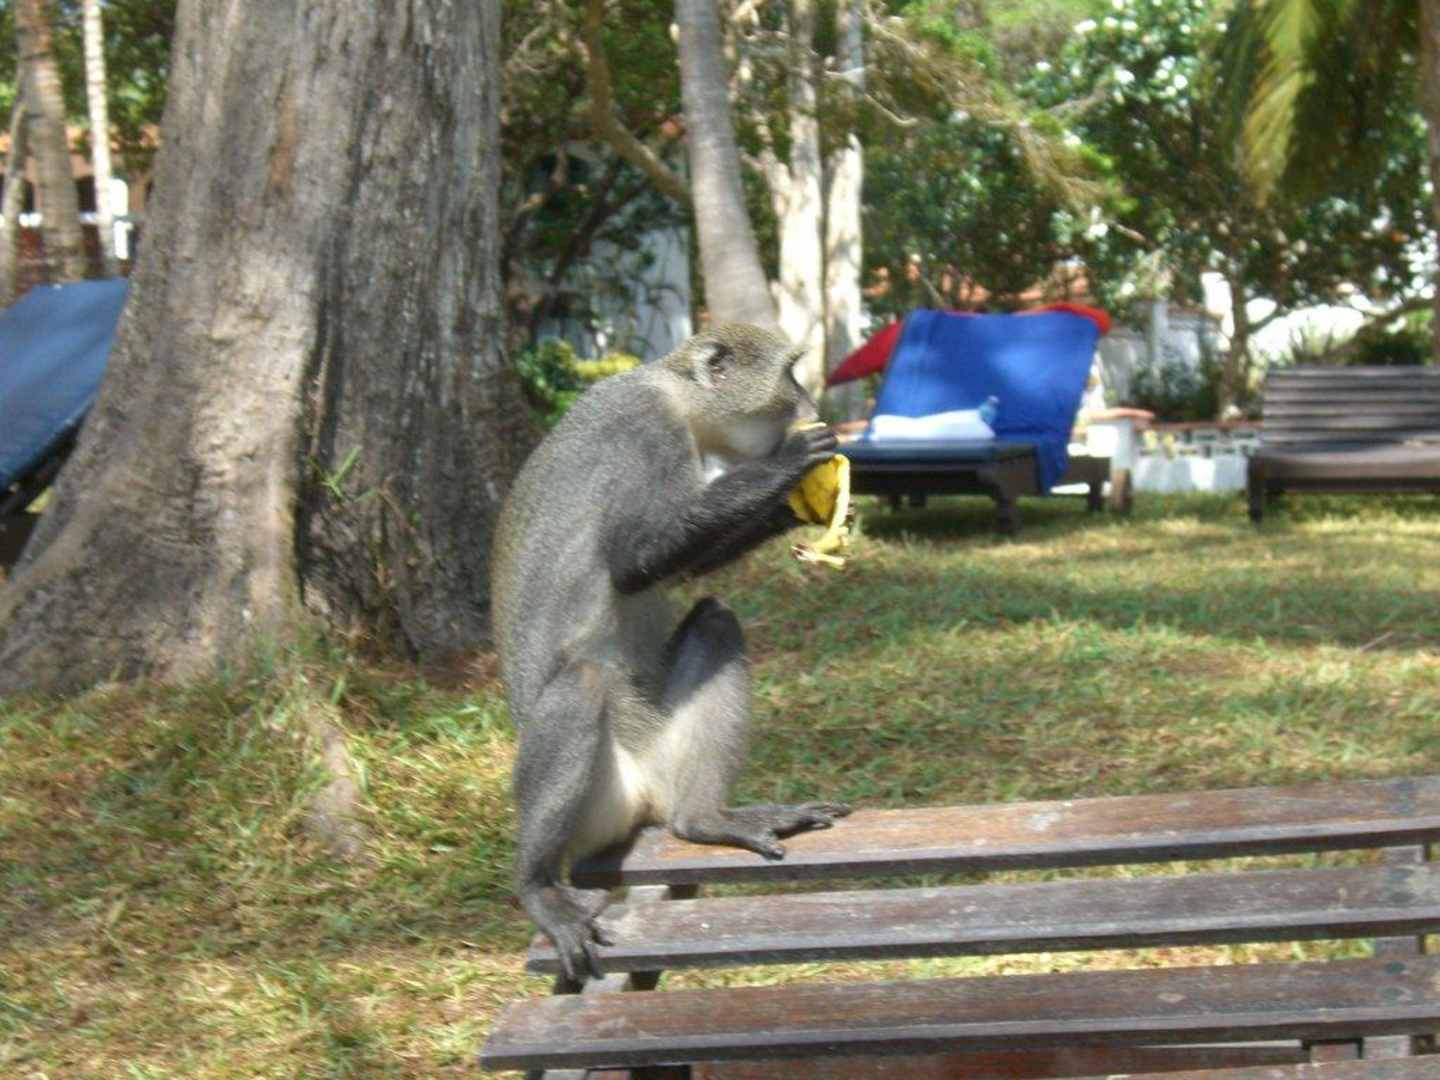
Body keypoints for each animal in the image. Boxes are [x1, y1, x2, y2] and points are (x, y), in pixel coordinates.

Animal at [491, 323, 851, 983]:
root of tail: (642, 798)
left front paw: (792, 503)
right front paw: (788, 465)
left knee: (715, 619)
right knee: (580, 684)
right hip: (600, 795)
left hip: (662, 760)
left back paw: (703, 820)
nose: (810, 403)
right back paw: (535, 884)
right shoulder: (646, 435)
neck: (675, 394)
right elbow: (634, 559)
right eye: (789, 373)